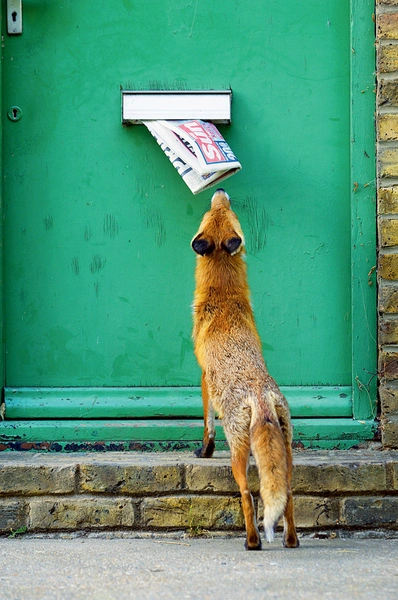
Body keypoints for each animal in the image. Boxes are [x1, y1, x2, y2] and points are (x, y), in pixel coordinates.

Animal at [192, 190, 298, 552]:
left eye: (224, 212)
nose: (220, 192)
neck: (224, 299)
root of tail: (259, 393)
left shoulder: (204, 378)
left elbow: (207, 424)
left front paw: (204, 451)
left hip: (238, 453)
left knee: (247, 497)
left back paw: (252, 541)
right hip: (287, 450)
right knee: (286, 495)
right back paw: (291, 541)